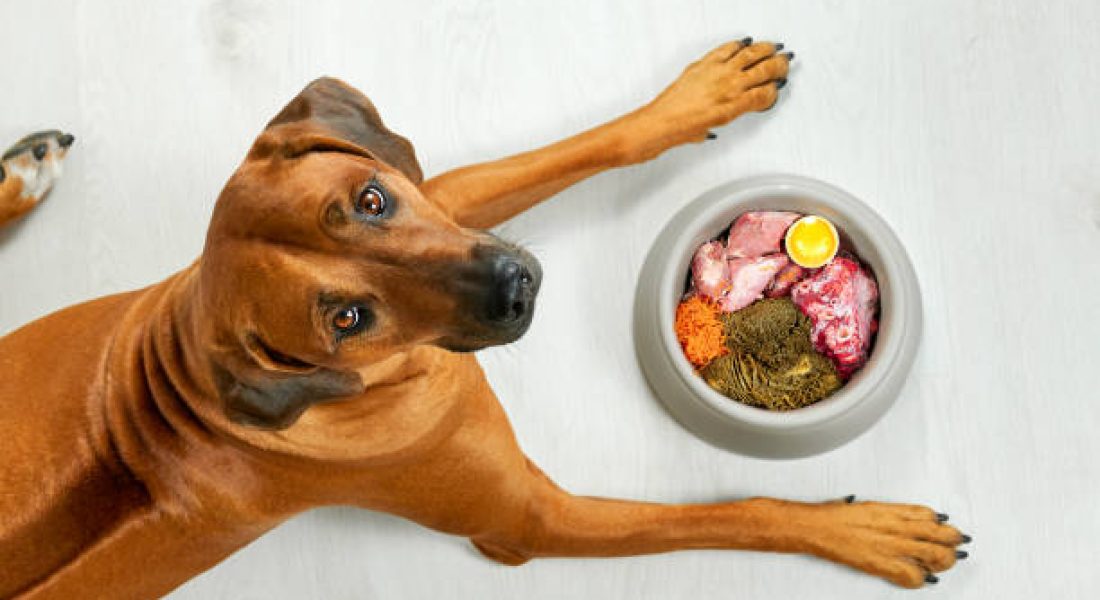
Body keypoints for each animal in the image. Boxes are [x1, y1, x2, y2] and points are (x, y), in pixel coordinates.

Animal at [0, 39, 963, 594]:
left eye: (373, 200)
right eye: (345, 319)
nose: (516, 286)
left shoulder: (445, 200)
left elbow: (585, 147)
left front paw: (700, 97)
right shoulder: (526, 522)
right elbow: (729, 514)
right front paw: (861, 531)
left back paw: (23, 172)